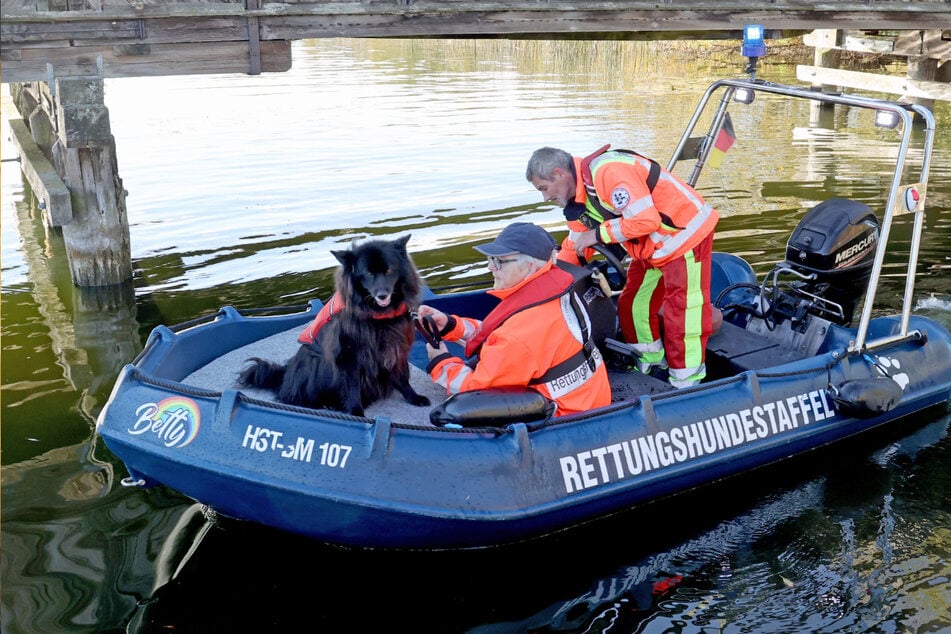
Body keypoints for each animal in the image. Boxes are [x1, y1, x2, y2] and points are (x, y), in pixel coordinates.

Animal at [238, 234, 431, 416]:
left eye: (389, 270)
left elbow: (402, 377)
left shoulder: (396, 347)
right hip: (317, 365)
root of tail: (285, 378)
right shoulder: (348, 356)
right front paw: (356, 413)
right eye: (368, 274)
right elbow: (352, 387)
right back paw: (328, 404)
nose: (382, 295)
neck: (376, 313)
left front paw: (413, 397)